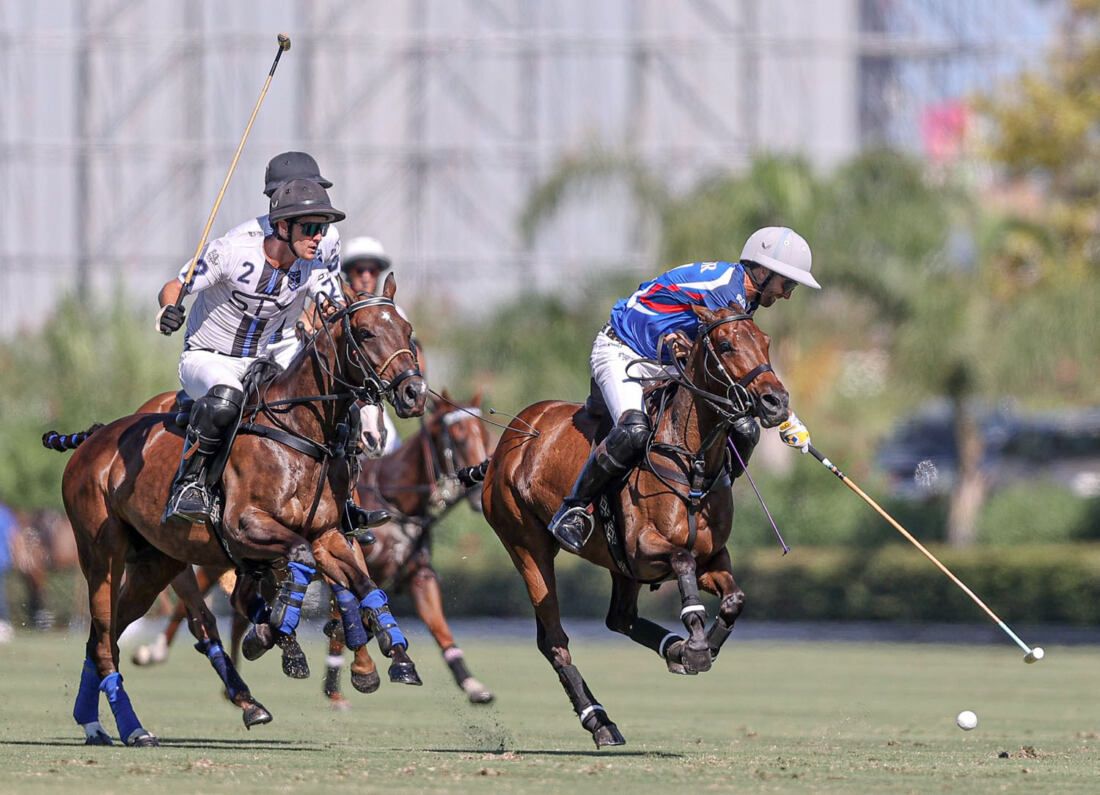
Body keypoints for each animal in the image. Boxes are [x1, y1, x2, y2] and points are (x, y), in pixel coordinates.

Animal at [52, 274, 429, 747]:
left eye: (408, 331)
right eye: (364, 333)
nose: (414, 393)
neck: (299, 431)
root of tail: (94, 439)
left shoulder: (329, 533)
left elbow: (361, 582)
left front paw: (395, 657)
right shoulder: (245, 526)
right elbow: (300, 564)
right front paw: (272, 633)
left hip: (155, 563)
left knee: (107, 635)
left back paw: (94, 722)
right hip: (101, 555)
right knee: (106, 637)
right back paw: (133, 728)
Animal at [133, 389, 499, 703]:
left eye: (484, 435)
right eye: (459, 437)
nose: (477, 490)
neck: (396, 501)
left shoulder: (418, 574)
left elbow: (438, 627)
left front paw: (472, 685)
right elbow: (346, 618)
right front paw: (345, 681)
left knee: (238, 612)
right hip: (215, 557)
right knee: (192, 602)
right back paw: (155, 652)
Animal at [473, 305, 792, 747]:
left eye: (765, 341)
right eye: (727, 344)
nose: (776, 401)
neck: (691, 461)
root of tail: (506, 441)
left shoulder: (712, 555)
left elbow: (734, 598)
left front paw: (700, 648)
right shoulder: (644, 549)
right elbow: (681, 559)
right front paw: (695, 644)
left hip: (618, 566)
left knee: (618, 618)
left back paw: (670, 652)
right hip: (526, 545)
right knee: (553, 638)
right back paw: (600, 721)